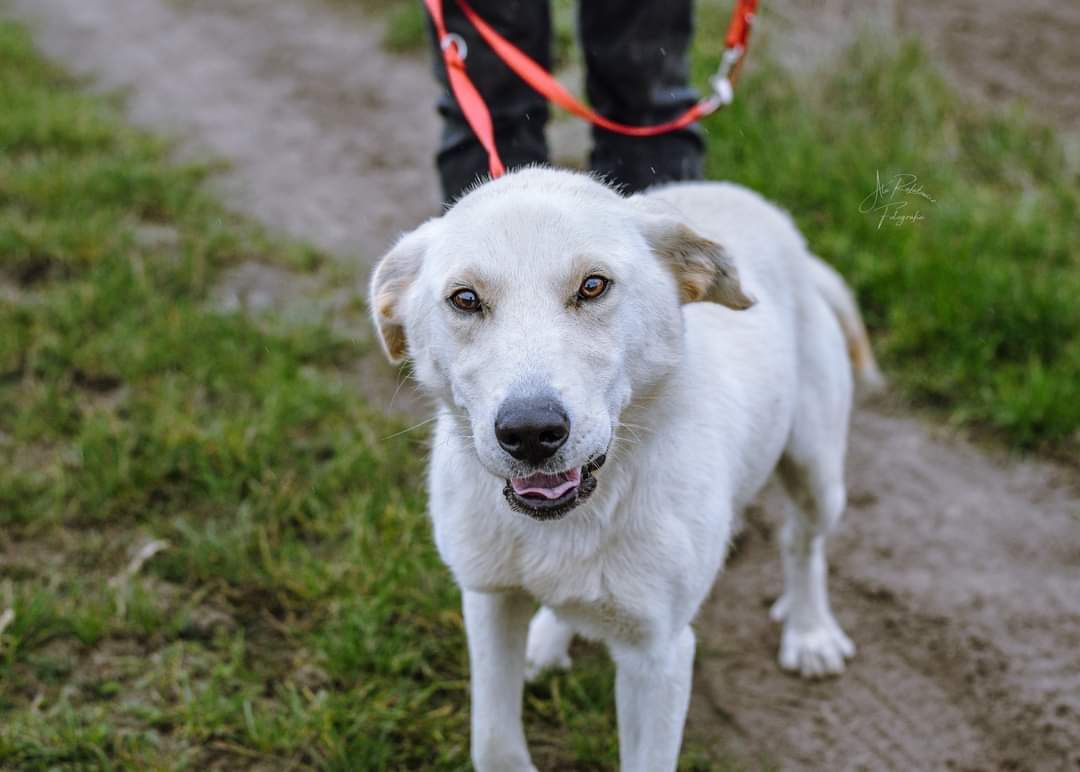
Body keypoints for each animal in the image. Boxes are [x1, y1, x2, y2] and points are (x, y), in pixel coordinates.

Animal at [367, 166, 881, 768]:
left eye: (593, 286)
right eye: (465, 299)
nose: (530, 432)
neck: (574, 518)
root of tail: (783, 230)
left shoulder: (658, 655)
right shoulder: (488, 599)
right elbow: (493, 742)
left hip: (817, 471)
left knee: (802, 538)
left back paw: (810, 630)